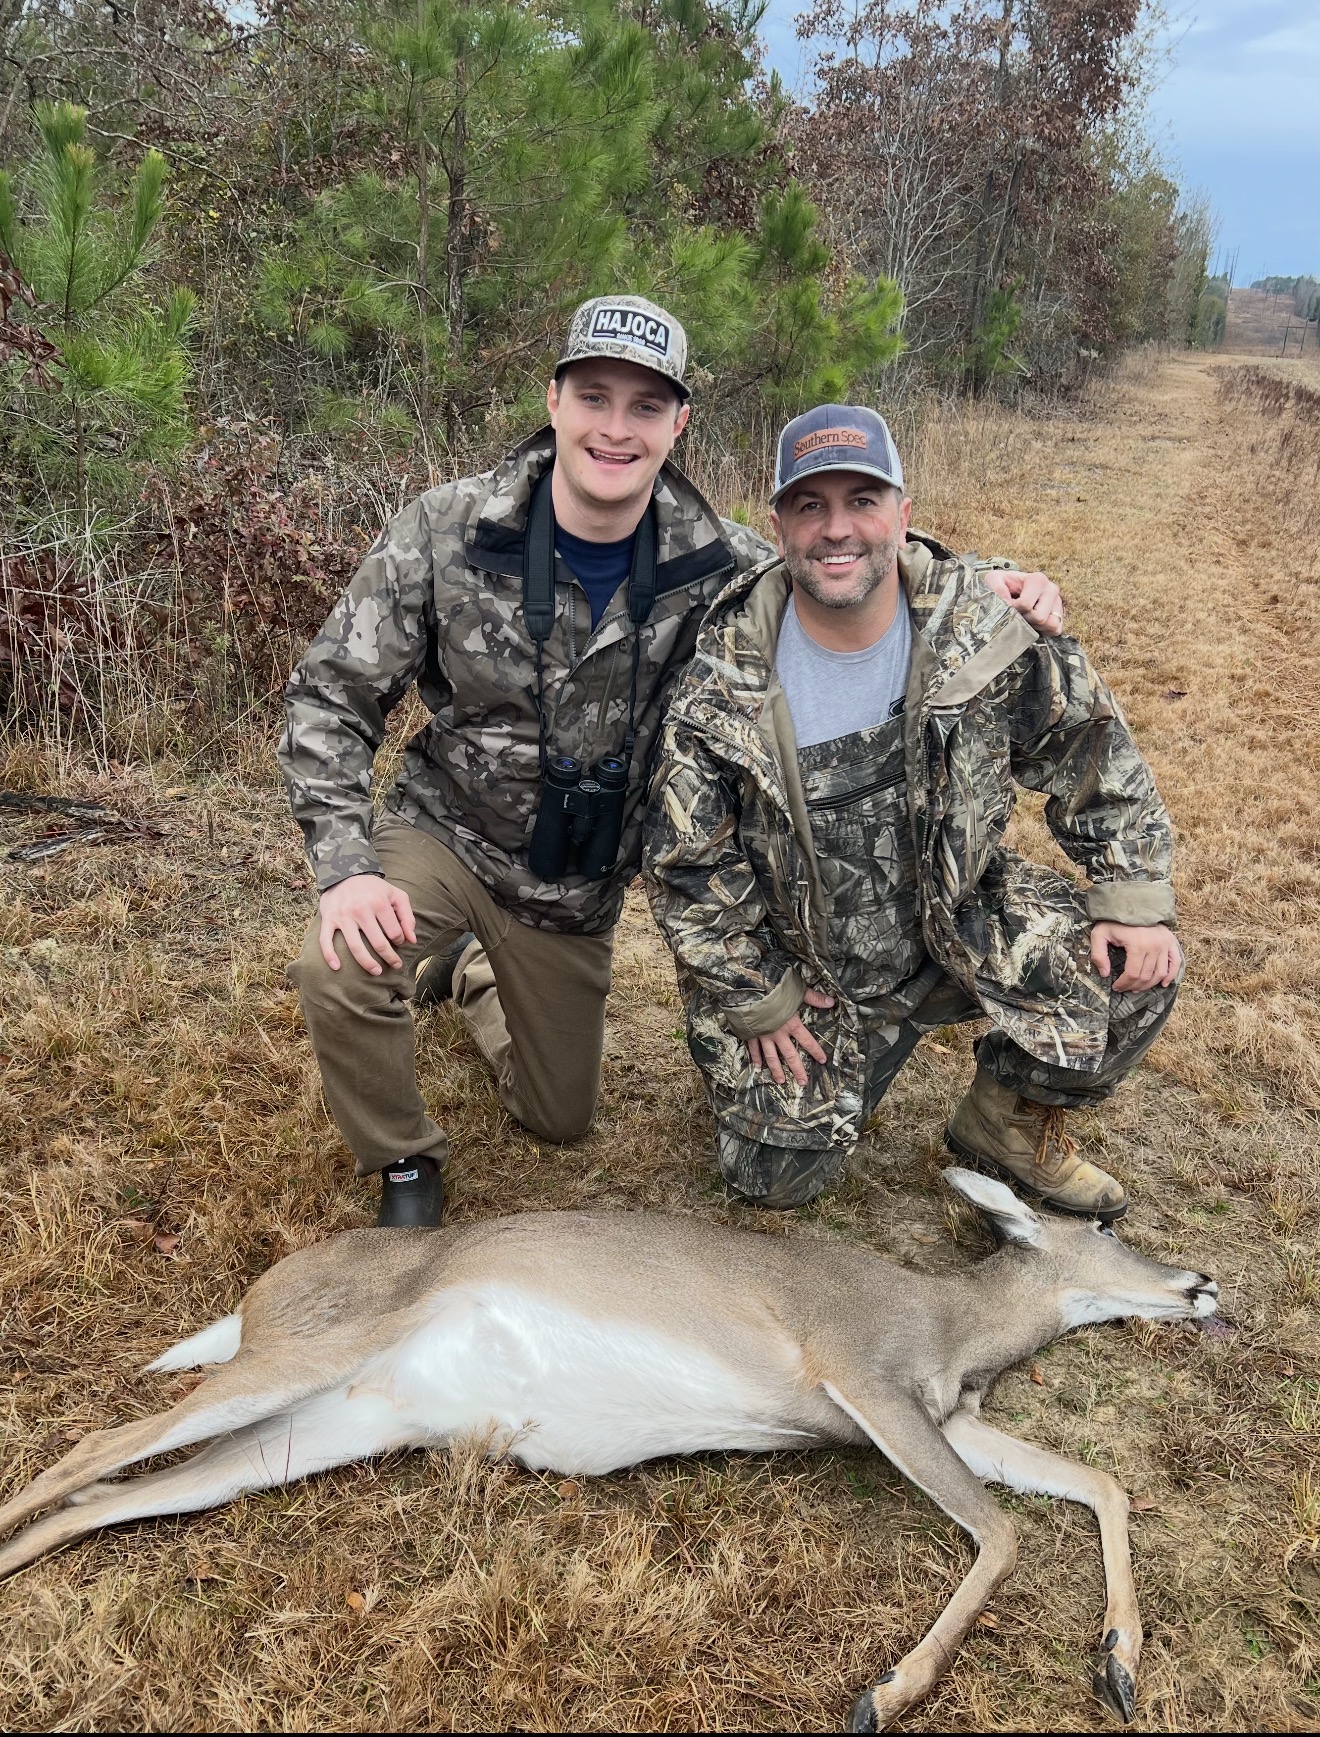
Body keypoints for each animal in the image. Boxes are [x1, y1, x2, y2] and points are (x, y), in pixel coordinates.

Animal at [0, 1168, 1217, 1731]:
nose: (1202, 1280)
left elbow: (1098, 1481)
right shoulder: (864, 1375)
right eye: (1106, 1227)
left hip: (319, 1425)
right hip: (303, 1355)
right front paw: (888, 1691)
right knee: (91, 1442)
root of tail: (255, 1296)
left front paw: (1122, 1662)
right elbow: (1005, 1533)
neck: (953, 1332)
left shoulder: (946, 1417)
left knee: (109, 1492)